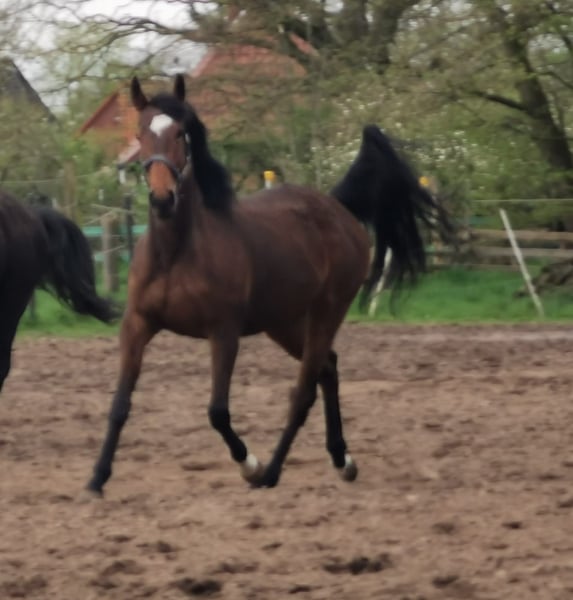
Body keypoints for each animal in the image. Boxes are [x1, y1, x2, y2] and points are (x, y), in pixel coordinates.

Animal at [86, 74, 451, 495]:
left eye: (181, 133)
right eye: (140, 132)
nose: (163, 199)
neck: (176, 252)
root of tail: (335, 206)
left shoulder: (223, 332)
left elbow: (218, 412)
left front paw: (250, 465)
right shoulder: (138, 325)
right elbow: (119, 405)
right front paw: (97, 478)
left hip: (327, 311)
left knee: (304, 390)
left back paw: (272, 471)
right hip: (284, 323)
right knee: (327, 367)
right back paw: (342, 460)